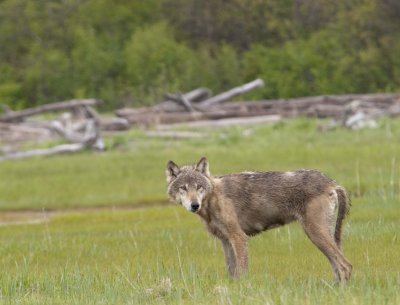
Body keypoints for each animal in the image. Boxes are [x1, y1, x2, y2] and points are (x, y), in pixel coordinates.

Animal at [166, 157, 354, 282]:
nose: (194, 205)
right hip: (321, 237)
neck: (213, 198)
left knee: (345, 266)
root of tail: (331, 182)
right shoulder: (225, 241)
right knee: (338, 267)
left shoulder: (239, 238)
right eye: (183, 188)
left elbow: (242, 273)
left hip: (315, 234)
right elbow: (232, 273)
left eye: (199, 187)